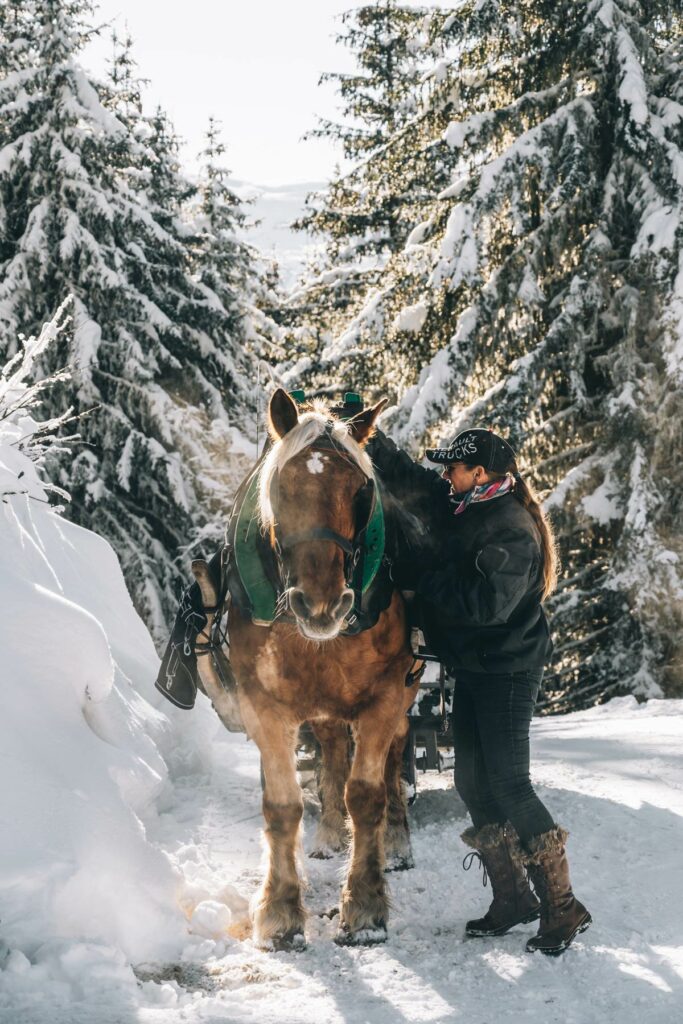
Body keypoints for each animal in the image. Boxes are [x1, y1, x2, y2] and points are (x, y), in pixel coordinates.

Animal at [189, 387, 419, 946]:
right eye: (280, 487)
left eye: (360, 491)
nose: (321, 606)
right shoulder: (264, 704)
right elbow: (283, 804)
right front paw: (280, 910)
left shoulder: (385, 696)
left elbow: (367, 794)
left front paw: (365, 906)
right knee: (332, 751)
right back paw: (328, 835)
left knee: (393, 761)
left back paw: (396, 842)